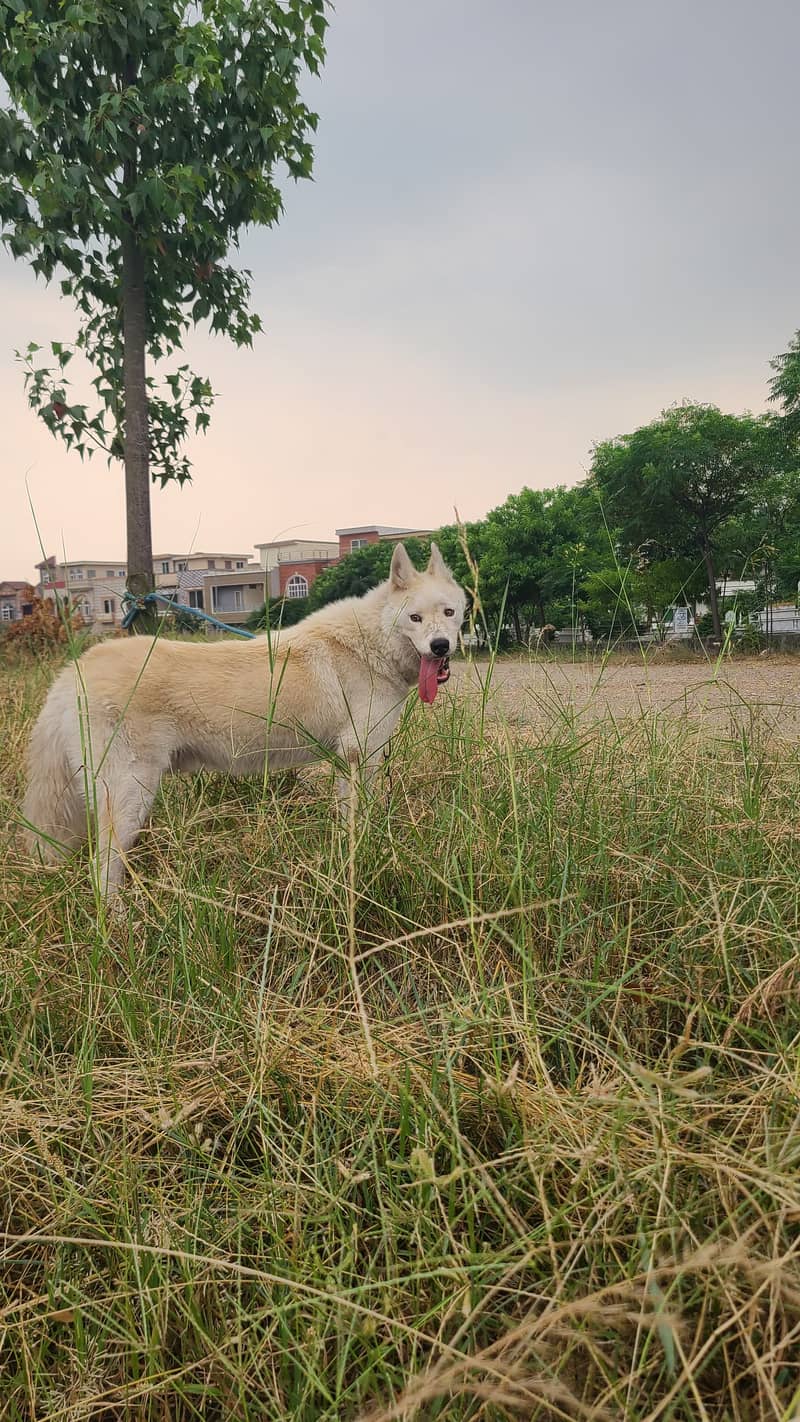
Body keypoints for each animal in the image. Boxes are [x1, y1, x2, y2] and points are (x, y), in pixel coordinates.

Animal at [21, 537, 466, 893]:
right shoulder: (359, 758)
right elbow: (357, 822)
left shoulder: (347, 762)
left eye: (448, 613)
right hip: (131, 796)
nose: (441, 647)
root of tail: (73, 671)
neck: (370, 645)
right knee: (102, 871)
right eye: (414, 618)